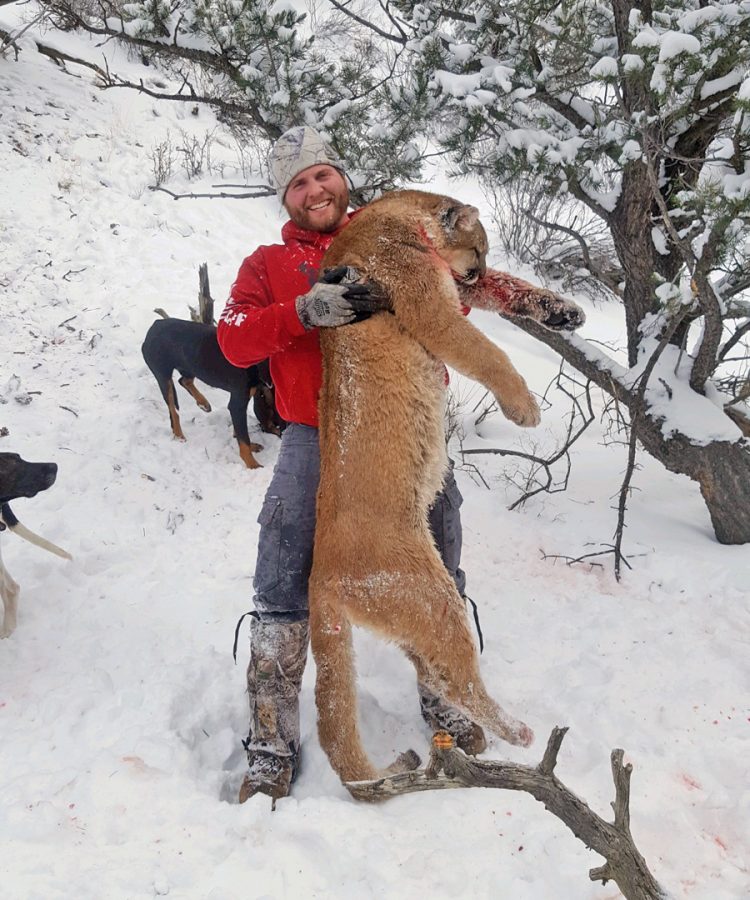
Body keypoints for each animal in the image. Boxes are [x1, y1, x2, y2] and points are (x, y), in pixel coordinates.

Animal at [141, 318, 284, 472]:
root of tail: (155, 325)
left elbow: (240, 431)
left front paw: (250, 447)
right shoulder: (238, 402)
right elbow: (243, 437)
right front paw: (253, 465)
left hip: (191, 365)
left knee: (184, 381)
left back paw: (203, 403)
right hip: (163, 375)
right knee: (173, 410)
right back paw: (179, 435)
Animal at [310, 190, 540, 788]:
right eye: (478, 249)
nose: (476, 271)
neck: (391, 215)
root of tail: (321, 577)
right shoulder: (427, 305)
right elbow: (488, 353)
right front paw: (524, 408)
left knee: (436, 675)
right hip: (433, 598)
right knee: (458, 678)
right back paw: (517, 731)